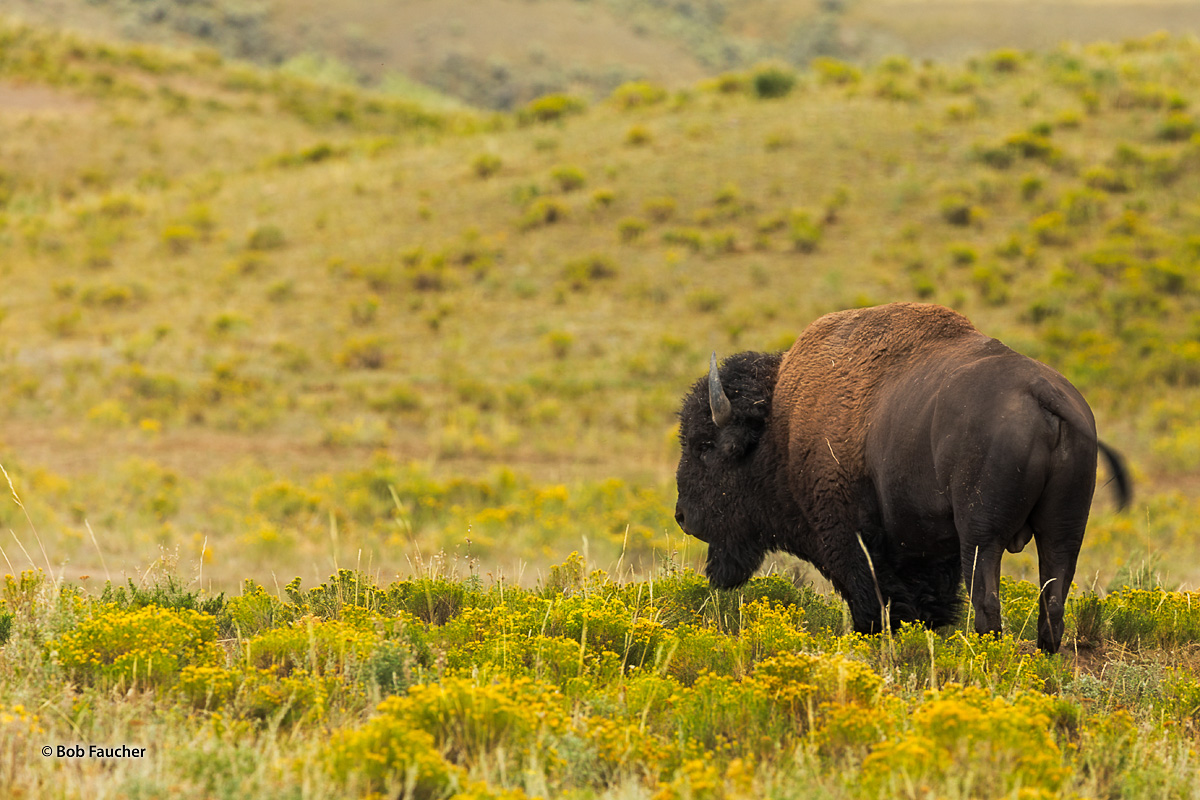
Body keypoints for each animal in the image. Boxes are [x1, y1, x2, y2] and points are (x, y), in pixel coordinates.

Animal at [681, 303, 1128, 652]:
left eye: (705, 446)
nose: (682, 517)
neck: (781, 423)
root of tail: (1042, 393)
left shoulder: (852, 540)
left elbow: (871, 601)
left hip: (981, 537)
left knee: (988, 602)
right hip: (1064, 530)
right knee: (1052, 599)